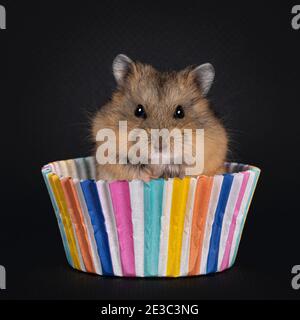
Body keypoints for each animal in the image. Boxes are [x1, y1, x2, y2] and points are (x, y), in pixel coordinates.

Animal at [91, 53, 227, 181]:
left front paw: (167, 174)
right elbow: (128, 165)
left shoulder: (213, 149)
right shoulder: (108, 149)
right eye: (138, 111)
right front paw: (150, 175)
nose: (160, 145)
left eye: (180, 112)